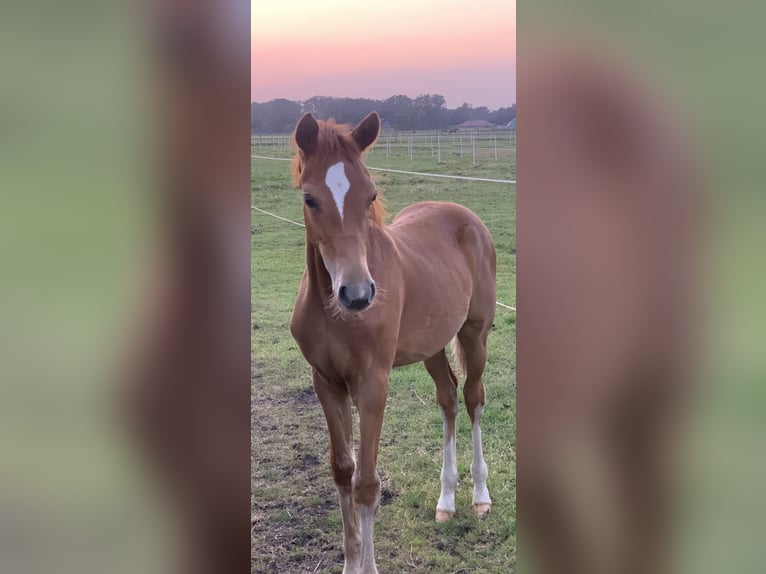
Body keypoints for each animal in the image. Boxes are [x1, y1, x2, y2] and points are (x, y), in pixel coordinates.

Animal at [290, 110, 498, 572]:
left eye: (370, 196)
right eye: (310, 199)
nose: (358, 294)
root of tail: (467, 217)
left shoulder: (373, 384)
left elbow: (367, 482)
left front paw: (367, 566)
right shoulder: (325, 382)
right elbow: (342, 470)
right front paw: (350, 561)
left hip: (474, 333)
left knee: (473, 398)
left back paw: (479, 496)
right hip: (432, 346)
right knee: (448, 397)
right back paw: (446, 499)